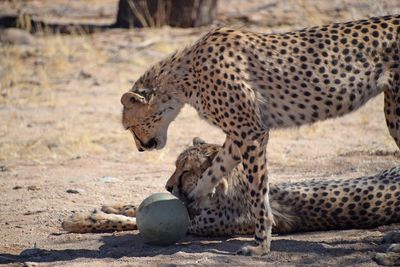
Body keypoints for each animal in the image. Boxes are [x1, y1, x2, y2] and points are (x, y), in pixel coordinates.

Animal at [121, 15, 400, 258]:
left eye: (129, 126)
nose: (140, 148)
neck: (185, 77)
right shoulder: (239, 135)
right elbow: (215, 169)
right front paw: (195, 197)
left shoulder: (252, 133)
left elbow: (258, 192)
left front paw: (261, 245)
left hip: (394, 112)